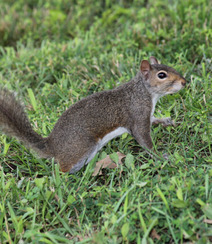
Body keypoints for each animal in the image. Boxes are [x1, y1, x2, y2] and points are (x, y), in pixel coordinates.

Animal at [0, 56, 186, 173]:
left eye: (170, 67)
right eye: (162, 75)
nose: (184, 82)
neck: (143, 92)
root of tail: (51, 145)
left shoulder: (146, 115)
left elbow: (154, 120)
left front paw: (167, 121)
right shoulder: (137, 114)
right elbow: (144, 139)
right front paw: (162, 157)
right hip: (83, 147)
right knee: (62, 169)